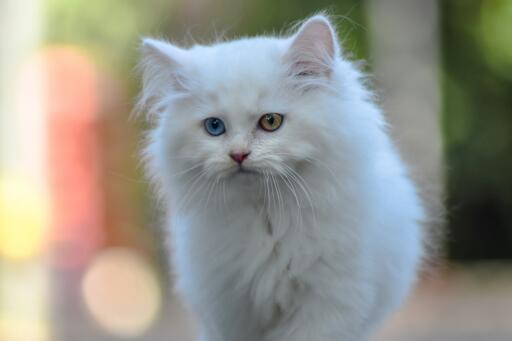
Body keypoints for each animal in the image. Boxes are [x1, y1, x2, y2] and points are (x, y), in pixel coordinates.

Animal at [136, 13, 424, 340]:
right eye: (214, 127)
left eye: (271, 122)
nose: (238, 155)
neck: (268, 216)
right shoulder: (230, 310)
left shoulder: (329, 305)